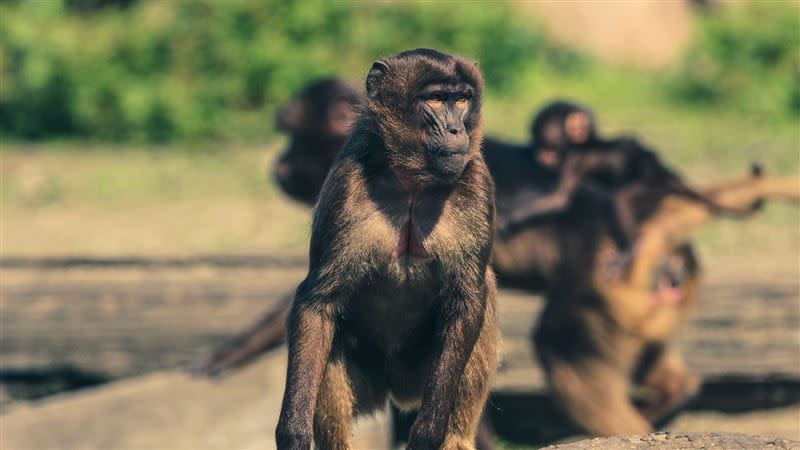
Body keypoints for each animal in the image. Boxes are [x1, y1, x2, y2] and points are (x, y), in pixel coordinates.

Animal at [276, 49, 500, 450]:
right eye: (435, 99)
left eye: (462, 99)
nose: (457, 130)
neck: (412, 183)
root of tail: (397, 391)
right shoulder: (345, 185)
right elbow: (317, 303)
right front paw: (293, 431)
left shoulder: (476, 182)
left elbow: (468, 298)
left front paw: (429, 434)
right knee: (327, 340)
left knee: (482, 301)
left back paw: (455, 439)